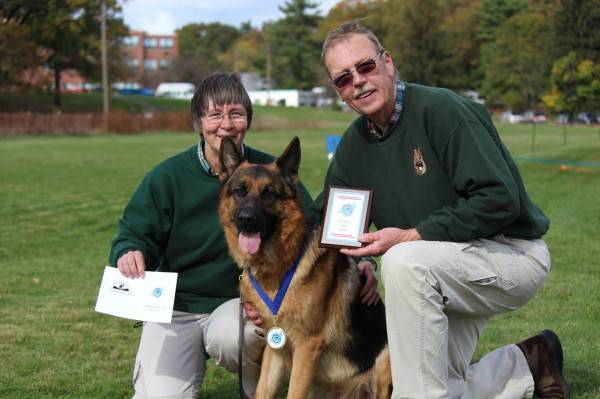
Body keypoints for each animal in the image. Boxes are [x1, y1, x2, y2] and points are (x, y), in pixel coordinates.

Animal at [218, 138, 392, 399]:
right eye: (240, 191)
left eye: (269, 193)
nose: (246, 219)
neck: (281, 264)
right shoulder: (275, 347)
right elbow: (262, 391)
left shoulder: (307, 347)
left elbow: (294, 392)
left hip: (385, 362)